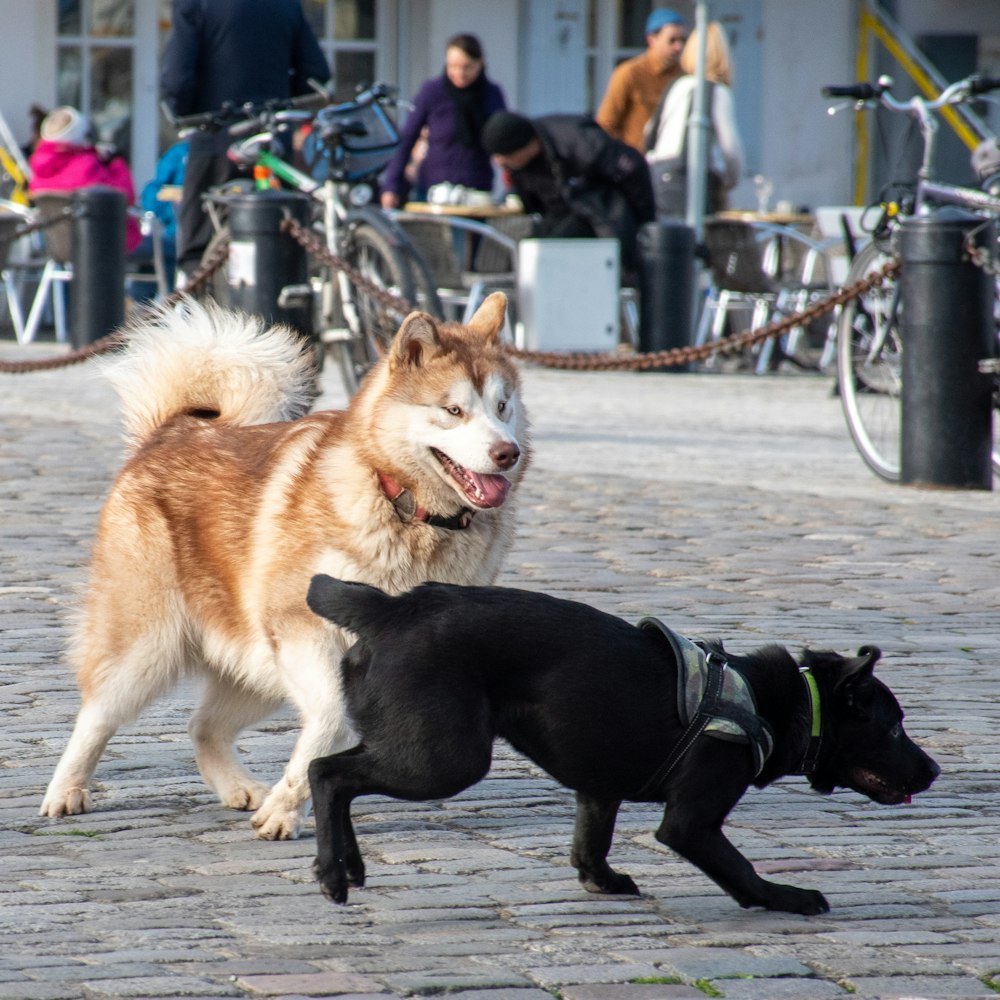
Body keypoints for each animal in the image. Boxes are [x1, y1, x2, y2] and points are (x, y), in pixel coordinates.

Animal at [40, 292, 532, 840]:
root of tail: (174, 429)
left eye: (503, 406)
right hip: (147, 648)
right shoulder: (304, 631)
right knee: (97, 715)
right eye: (453, 410)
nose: (507, 453)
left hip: (255, 665)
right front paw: (287, 806)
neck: (402, 506)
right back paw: (65, 791)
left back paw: (238, 788)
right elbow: (331, 720)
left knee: (203, 726)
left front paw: (288, 803)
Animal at [304, 580, 936, 916]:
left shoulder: (597, 789)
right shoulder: (691, 824)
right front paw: (787, 896)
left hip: (417, 748)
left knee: (341, 777)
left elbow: (590, 846)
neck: (777, 703)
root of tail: (393, 607)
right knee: (326, 772)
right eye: (894, 728)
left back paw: (349, 863)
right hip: (447, 760)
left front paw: (602, 883)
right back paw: (333, 872)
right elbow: (742, 871)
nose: (932, 771)